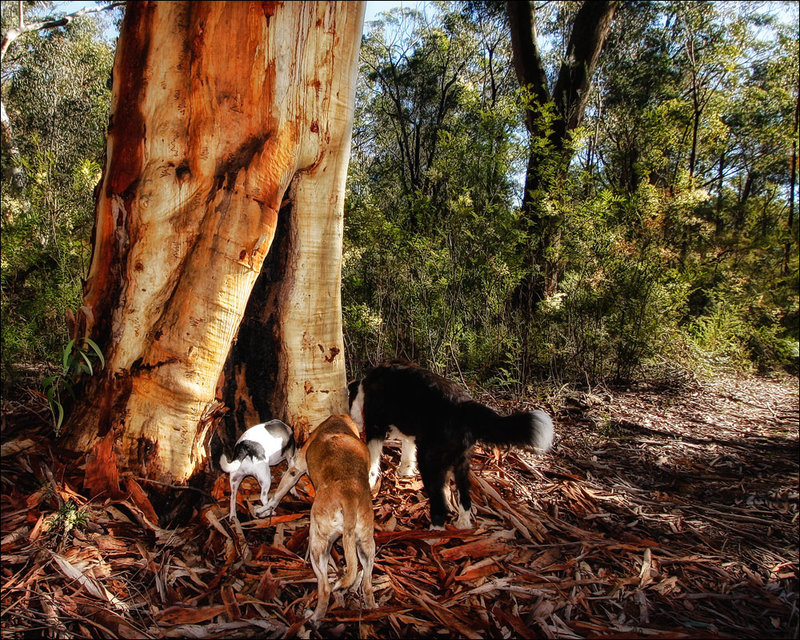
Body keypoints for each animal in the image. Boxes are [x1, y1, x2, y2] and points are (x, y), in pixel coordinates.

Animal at [258, 416, 380, 620]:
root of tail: (349, 497)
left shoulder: (295, 468)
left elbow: (277, 495)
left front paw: (264, 509)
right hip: (366, 545)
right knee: (367, 586)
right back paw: (372, 607)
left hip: (317, 544)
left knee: (325, 589)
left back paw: (313, 617)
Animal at [346, 360, 552, 528]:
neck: (365, 387)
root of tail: (464, 405)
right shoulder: (411, 432)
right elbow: (407, 450)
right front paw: (405, 471)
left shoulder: (375, 428)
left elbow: (373, 459)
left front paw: (370, 480)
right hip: (462, 461)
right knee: (465, 498)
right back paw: (463, 524)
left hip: (430, 461)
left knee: (440, 504)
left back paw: (434, 532)